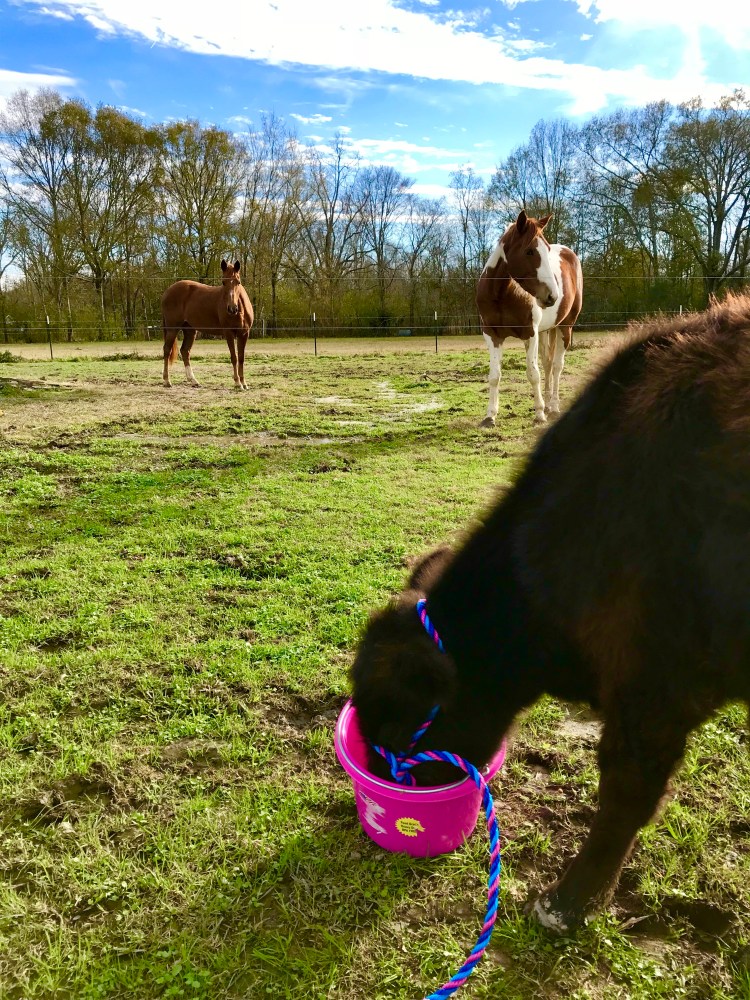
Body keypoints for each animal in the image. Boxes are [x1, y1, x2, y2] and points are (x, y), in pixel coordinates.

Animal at [161, 259, 254, 390]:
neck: (240, 310)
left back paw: (194, 381)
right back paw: (167, 381)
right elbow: (234, 357)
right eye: (223, 282)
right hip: (172, 329)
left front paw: (244, 383)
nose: (232, 309)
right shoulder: (229, 333)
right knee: (167, 350)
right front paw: (237, 383)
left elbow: (241, 357)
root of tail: (167, 291)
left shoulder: (244, 333)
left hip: (190, 330)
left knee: (185, 351)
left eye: (238, 282)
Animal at [476, 210, 583, 426]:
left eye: (546, 249)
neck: (502, 294)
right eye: (530, 251)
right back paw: (549, 404)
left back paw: (553, 407)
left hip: (565, 328)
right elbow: (494, 375)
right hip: (546, 331)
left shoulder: (530, 334)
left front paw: (540, 414)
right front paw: (490, 415)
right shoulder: (492, 335)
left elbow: (533, 374)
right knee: (548, 364)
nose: (553, 296)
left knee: (556, 367)